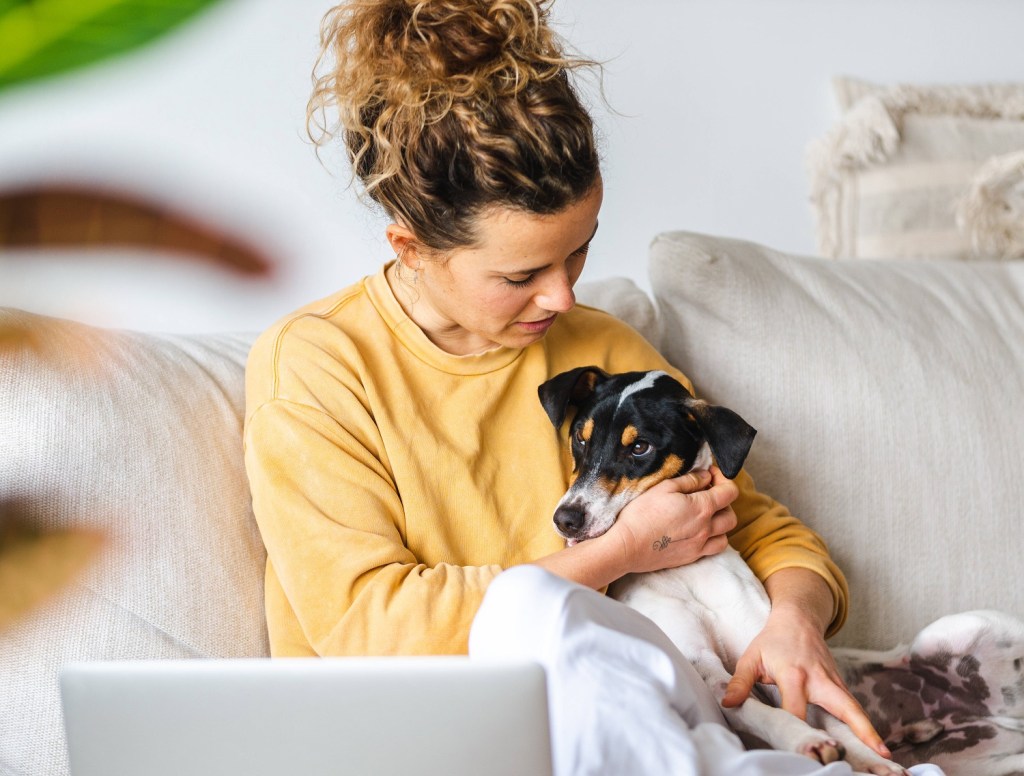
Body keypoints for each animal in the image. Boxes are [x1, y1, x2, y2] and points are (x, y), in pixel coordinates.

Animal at [540, 368, 909, 776]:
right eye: (580, 437)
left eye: (640, 448)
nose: (566, 519)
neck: (684, 571)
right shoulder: (707, 669)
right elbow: (763, 712)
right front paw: (805, 740)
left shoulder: (772, 656)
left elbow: (832, 717)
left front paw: (870, 758)